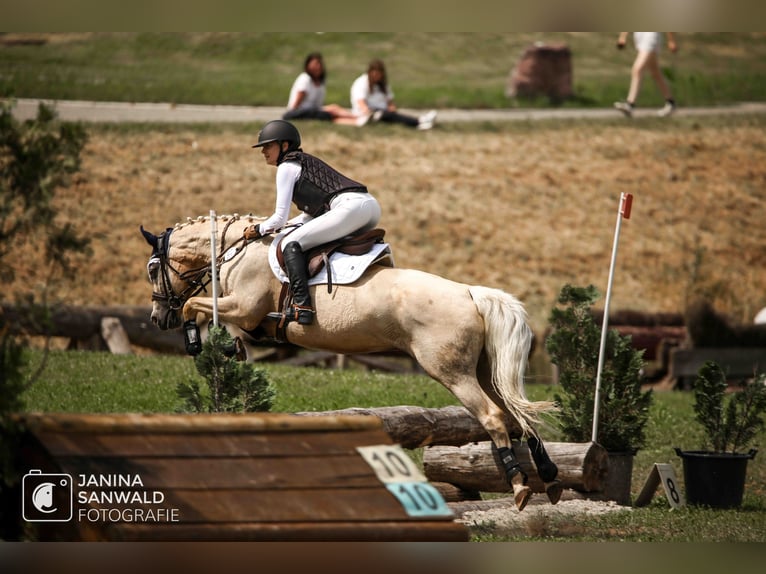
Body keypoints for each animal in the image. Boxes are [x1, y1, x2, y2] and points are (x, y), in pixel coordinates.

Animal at [141, 214, 562, 510]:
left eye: (152, 269)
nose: (158, 318)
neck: (236, 252)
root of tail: (471, 292)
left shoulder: (244, 308)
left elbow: (196, 307)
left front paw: (198, 342)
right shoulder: (245, 315)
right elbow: (215, 319)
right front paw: (230, 349)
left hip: (451, 372)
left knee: (493, 416)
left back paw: (520, 487)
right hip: (482, 371)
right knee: (517, 413)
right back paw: (550, 477)